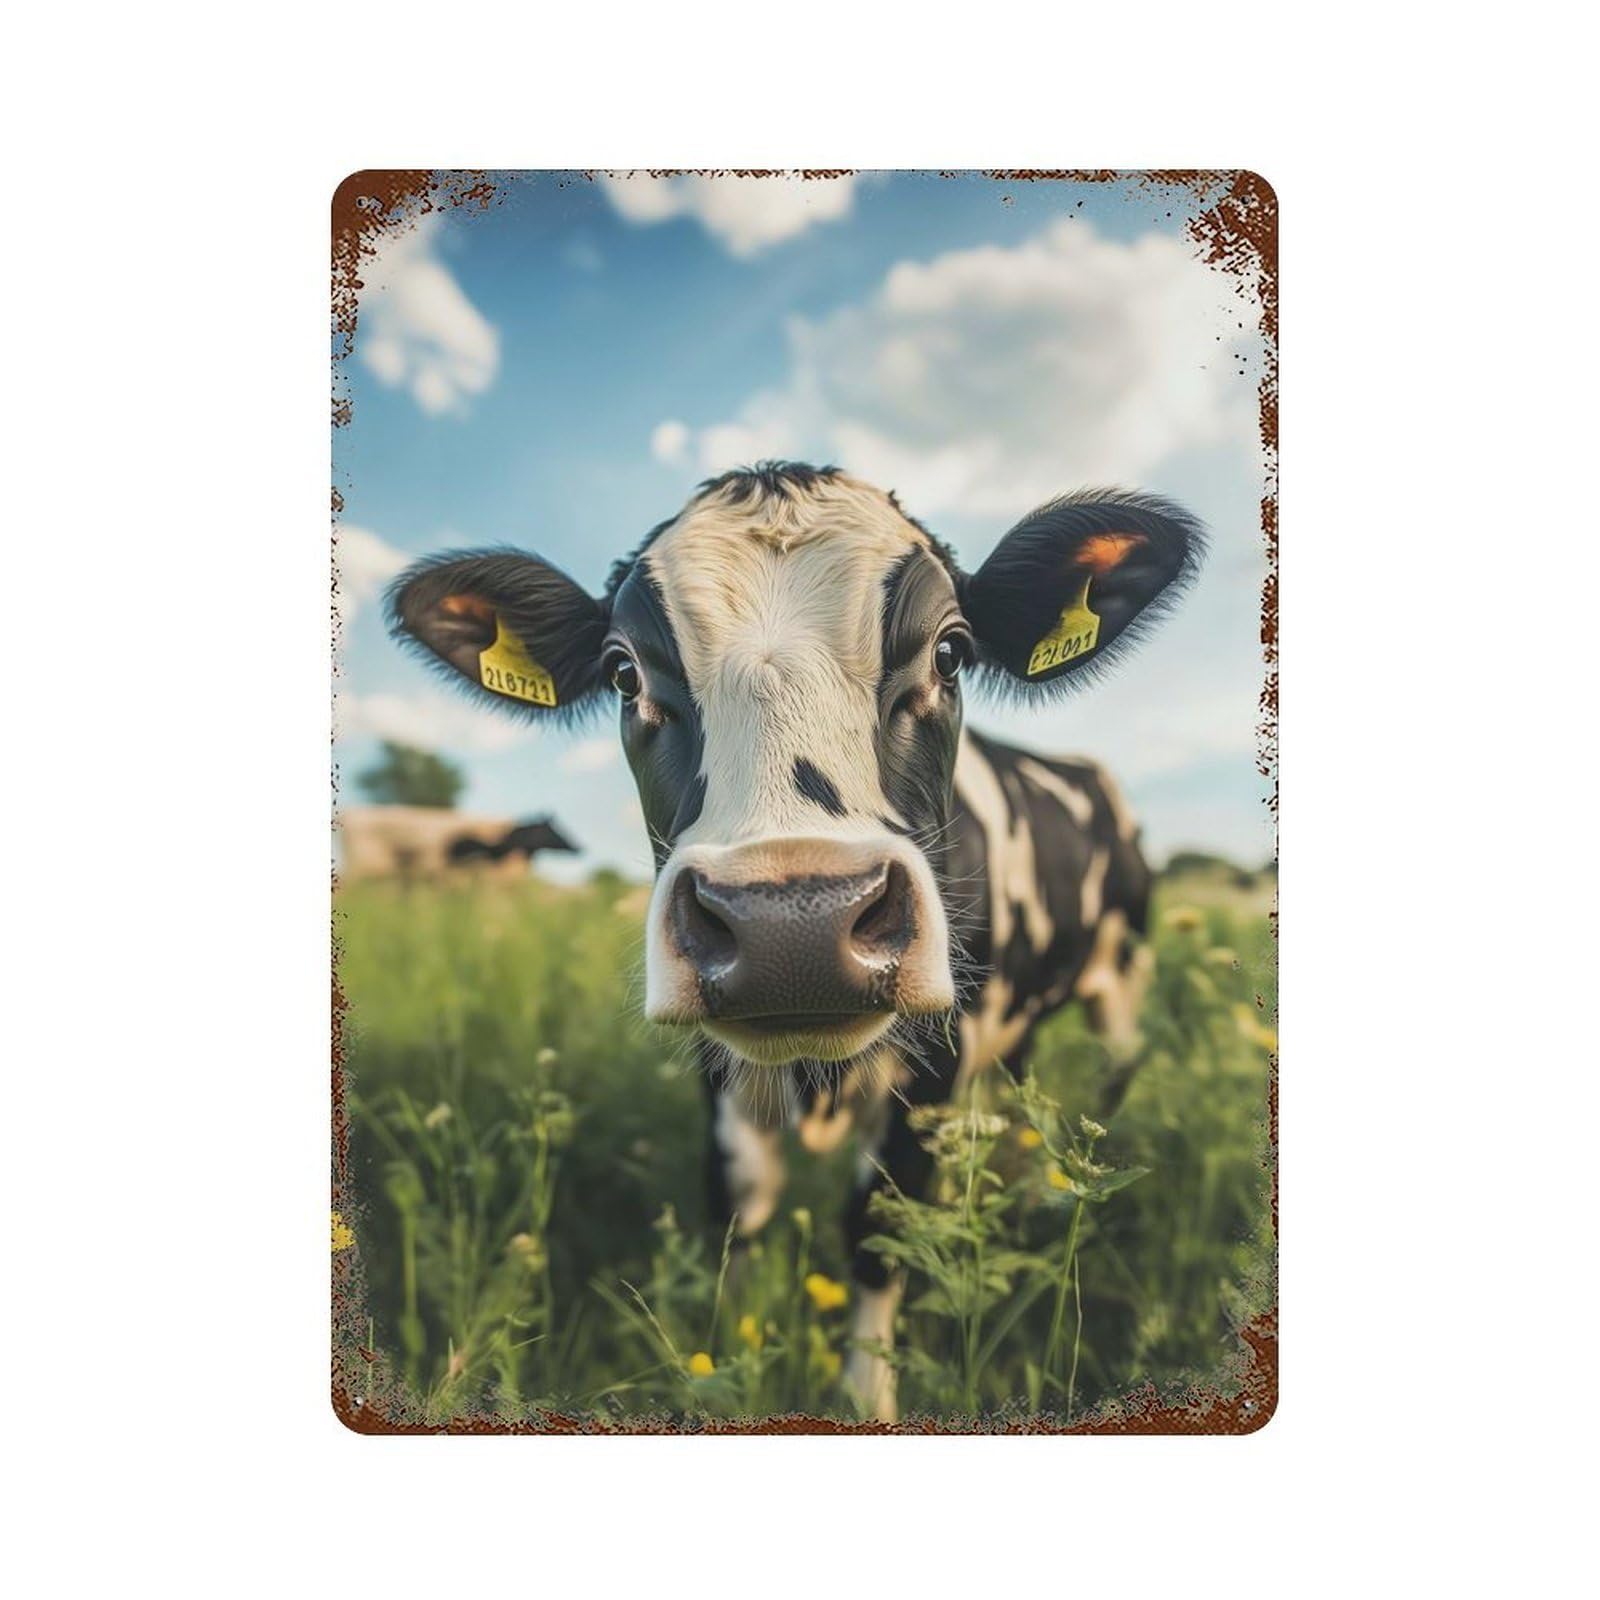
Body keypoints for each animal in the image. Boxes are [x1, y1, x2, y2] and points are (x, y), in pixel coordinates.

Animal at [388, 462, 1202, 1419]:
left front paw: (866, 1398)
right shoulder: (718, 1070)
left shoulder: (932, 1065)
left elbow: (877, 1227)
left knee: (1117, 1069)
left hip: (1123, 973)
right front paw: (727, 1366)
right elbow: (738, 1205)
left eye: (951, 652)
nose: (793, 926)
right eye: (624, 673)